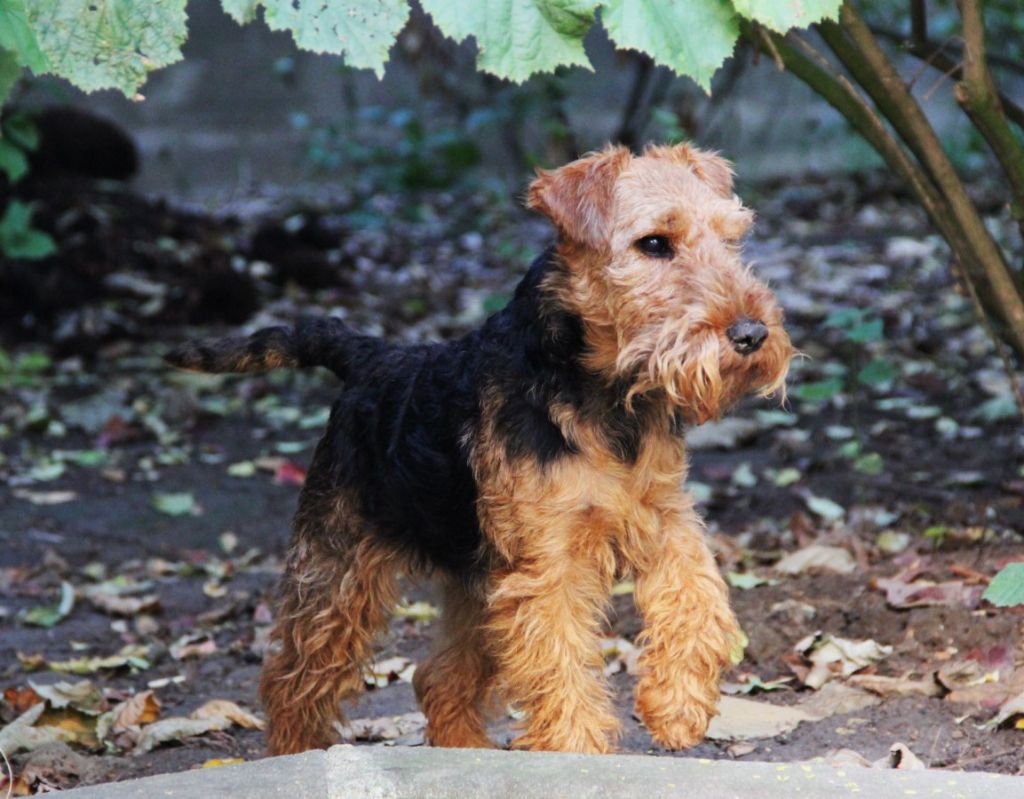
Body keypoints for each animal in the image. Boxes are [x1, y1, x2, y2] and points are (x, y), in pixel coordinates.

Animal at [165, 145, 790, 753]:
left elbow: (698, 602)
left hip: (478, 582)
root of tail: (370, 358)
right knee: (292, 680)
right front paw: (581, 756)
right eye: (654, 243)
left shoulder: (662, 519)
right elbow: (561, 671)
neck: (602, 395)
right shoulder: (550, 564)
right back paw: (296, 754)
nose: (752, 334)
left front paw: (677, 708)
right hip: (337, 572)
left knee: (438, 678)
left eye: (731, 238)